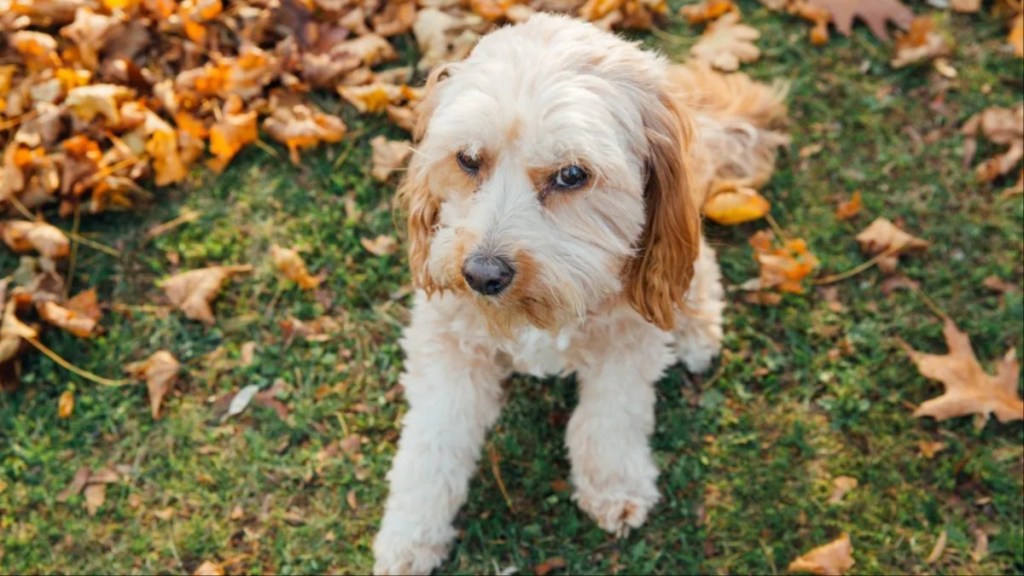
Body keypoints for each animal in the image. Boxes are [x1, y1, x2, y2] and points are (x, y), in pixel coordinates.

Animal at [372, 13, 786, 573]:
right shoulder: (447, 344)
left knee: (700, 269)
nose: (481, 274)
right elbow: (433, 443)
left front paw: (615, 488)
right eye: (467, 159)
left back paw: (697, 332)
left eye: (572, 174)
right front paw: (409, 535)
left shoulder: (629, 343)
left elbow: (609, 419)